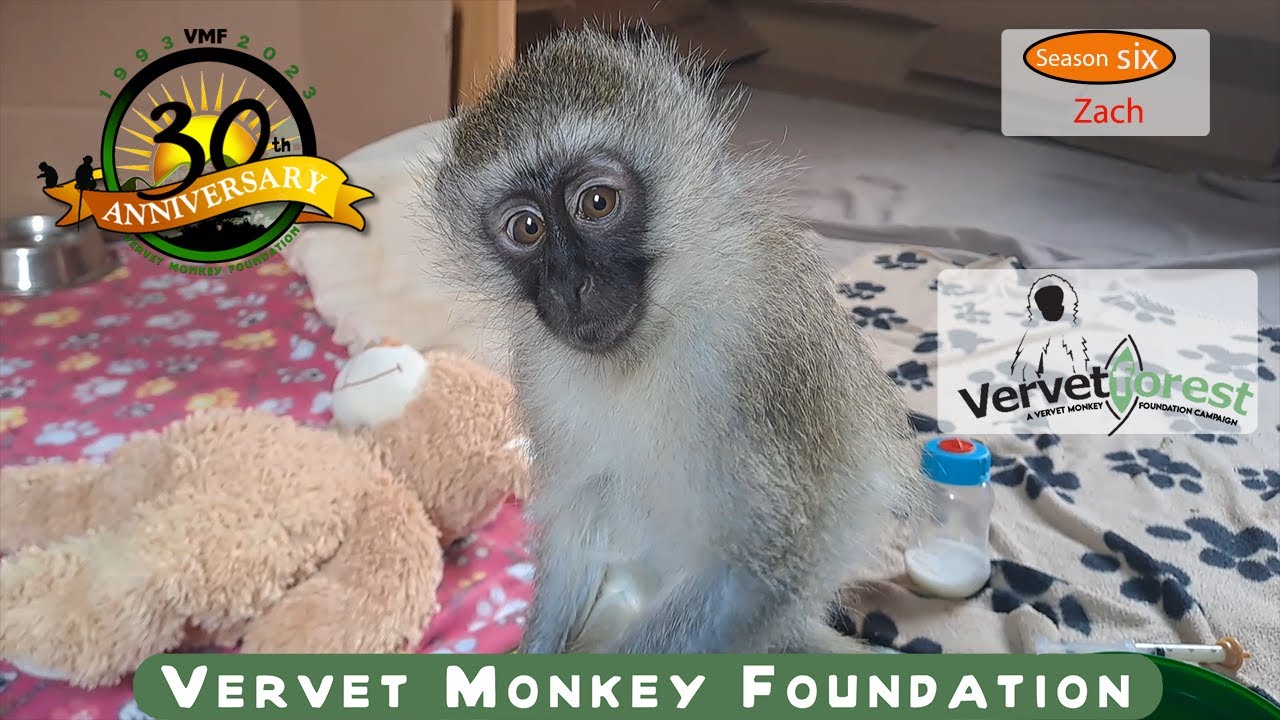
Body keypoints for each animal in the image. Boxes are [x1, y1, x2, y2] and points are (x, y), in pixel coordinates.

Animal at [420, 24, 924, 654]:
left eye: (597, 203)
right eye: (527, 228)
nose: (569, 285)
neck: (650, 335)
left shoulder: (759, 336)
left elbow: (762, 566)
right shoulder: (539, 366)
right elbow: (573, 524)